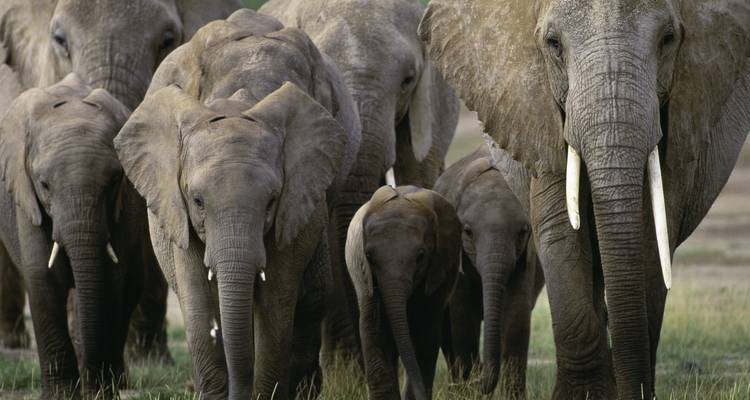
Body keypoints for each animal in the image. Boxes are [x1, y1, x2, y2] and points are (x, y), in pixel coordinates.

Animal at [0, 73, 154, 398]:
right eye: (44, 184)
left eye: (115, 180)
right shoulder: (26, 200)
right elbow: (42, 279)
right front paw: (61, 395)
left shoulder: (121, 208)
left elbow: (109, 281)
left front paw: (99, 393)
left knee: (130, 285)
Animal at [114, 10, 360, 399]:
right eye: (198, 201)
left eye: (271, 200)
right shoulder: (177, 205)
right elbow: (196, 293)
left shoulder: (299, 190)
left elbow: (278, 293)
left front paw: (266, 393)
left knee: (312, 293)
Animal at [346, 185, 461, 400]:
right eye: (369, 256)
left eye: (420, 257)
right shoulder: (366, 277)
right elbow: (373, 328)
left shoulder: (438, 268)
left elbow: (425, 331)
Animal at [434, 145, 545, 397]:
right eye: (467, 231)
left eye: (523, 231)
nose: (478, 378)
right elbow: (464, 315)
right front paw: (469, 393)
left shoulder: (526, 257)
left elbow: (516, 316)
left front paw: (512, 396)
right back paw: (456, 388)